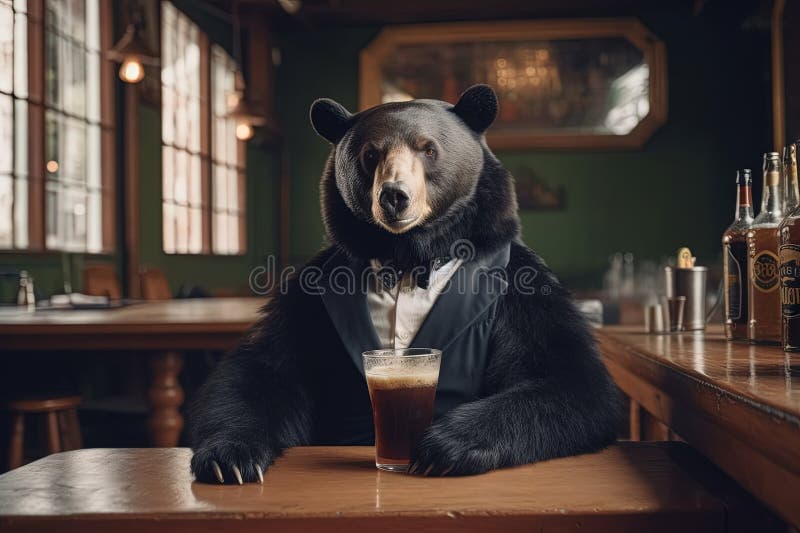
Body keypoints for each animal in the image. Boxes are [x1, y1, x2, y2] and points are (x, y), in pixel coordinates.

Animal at [188, 84, 620, 483]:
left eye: (428, 149)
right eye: (370, 154)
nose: (394, 196)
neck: (408, 258)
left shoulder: (520, 289)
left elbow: (568, 377)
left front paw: (443, 446)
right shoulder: (311, 296)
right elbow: (266, 370)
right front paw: (229, 458)